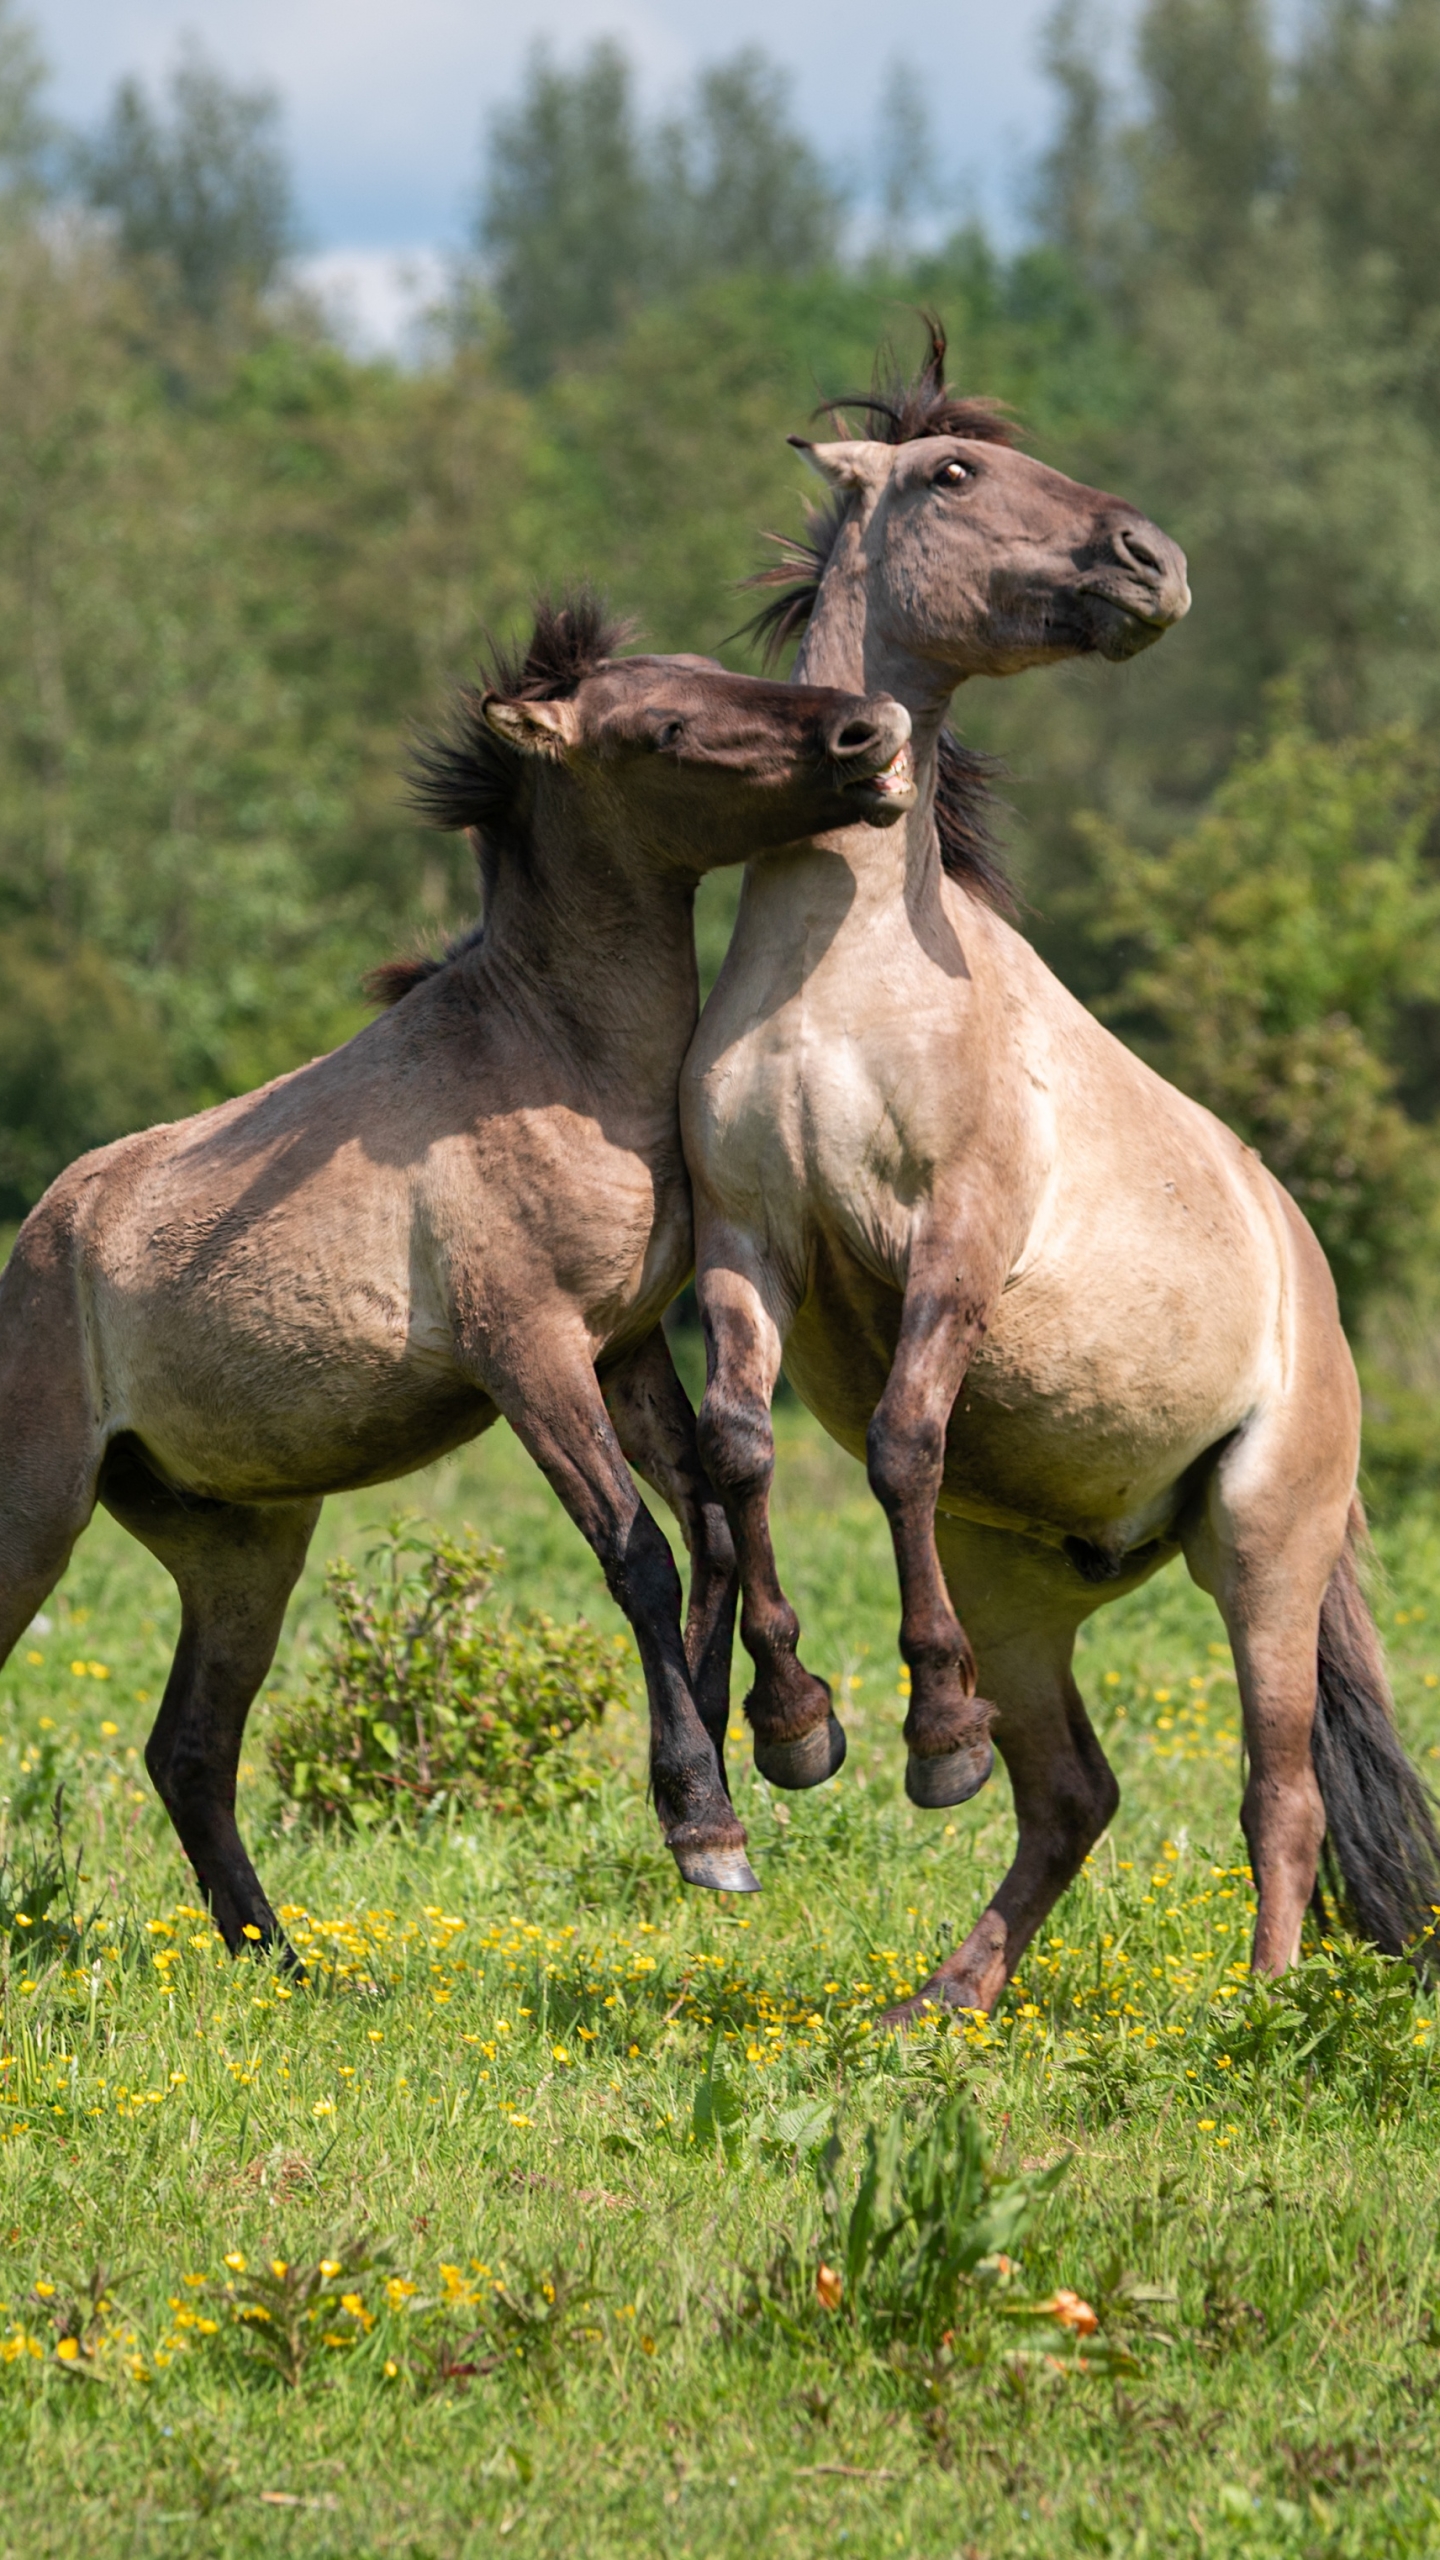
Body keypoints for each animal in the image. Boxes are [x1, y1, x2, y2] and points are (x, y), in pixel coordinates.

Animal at [0, 599, 907, 1945]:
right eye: (666, 726)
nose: (872, 729)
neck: (557, 1067)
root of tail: (34, 1243)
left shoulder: (625, 1345)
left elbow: (709, 1524)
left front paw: (774, 1739)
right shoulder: (527, 1355)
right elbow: (638, 1552)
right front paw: (707, 1825)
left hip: (241, 1548)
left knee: (190, 1753)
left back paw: (290, 1963)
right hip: (38, 1513)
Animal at [676, 330, 1434, 2007]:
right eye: (956, 473)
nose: (1156, 562)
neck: (849, 979)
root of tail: (1311, 1286)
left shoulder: (958, 1240)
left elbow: (899, 1440)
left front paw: (925, 1737)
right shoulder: (747, 1243)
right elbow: (736, 1451)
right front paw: (800, 1727)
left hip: (1266, 1551)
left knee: (1280, 1794)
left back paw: (1266, 2005)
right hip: (1025, 1580)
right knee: (1074, 1796)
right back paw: (942, 2001)